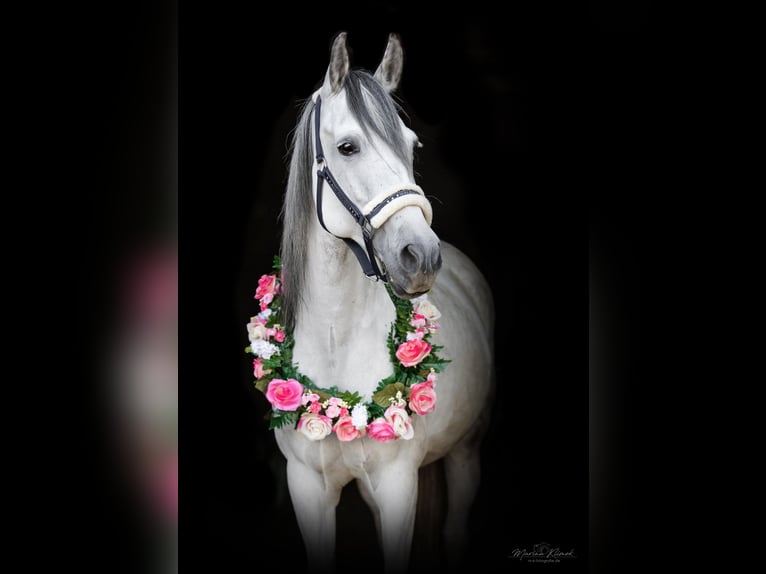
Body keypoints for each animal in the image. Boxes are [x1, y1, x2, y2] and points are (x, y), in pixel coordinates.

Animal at [260, 32, 495, 574]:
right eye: (348, 146)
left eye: (412, 145)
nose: (421, 256)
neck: (337, 343)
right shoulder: (308, 489)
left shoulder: (397, 488)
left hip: (467, 451)